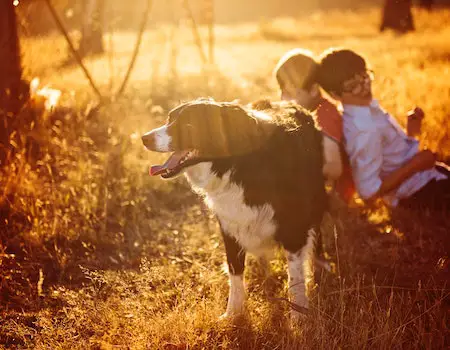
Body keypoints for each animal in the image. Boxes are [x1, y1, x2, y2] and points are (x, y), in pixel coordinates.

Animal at [142, 98, 326, 320]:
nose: (144, 138)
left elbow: (295, 278)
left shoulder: (293, 227)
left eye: (188, 125)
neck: (235, 165)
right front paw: (233, 314)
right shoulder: (229, 225)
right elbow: (235, 272)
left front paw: (299, 317)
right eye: (169, 119)